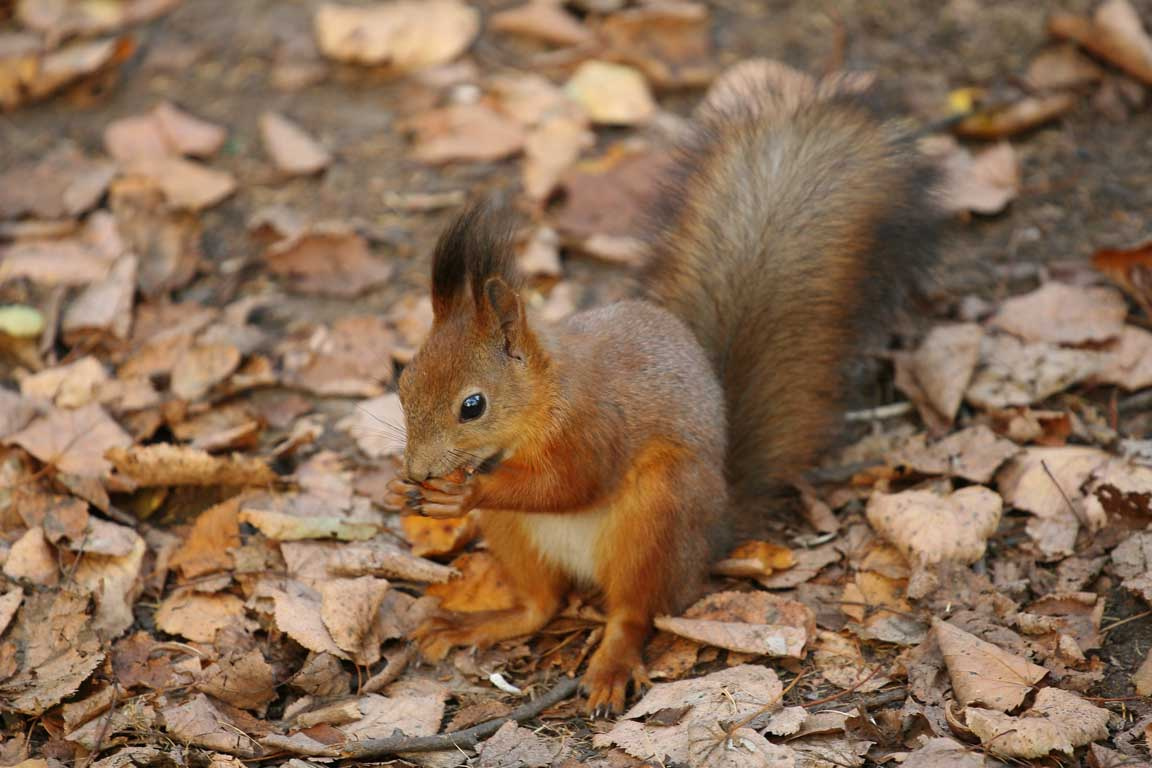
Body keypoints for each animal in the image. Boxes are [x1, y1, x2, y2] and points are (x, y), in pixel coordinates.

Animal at [385, 74, 943, 715]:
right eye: (403, 383)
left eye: (472, 406)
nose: (418, 468)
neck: (544, 396)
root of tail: (713, 530)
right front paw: (403, 491)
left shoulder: (594, 424)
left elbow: (571, 483)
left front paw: (467, 491)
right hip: (517, 535)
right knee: (539, 606)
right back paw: (473, 624)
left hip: (655, 518)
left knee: (633, 612)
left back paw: (609, 667)